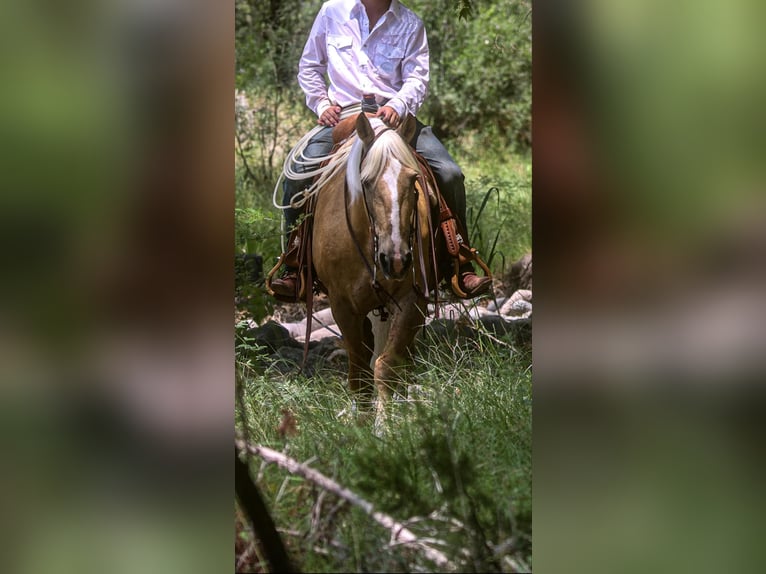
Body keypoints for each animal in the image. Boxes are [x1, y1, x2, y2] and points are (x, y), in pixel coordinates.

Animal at [314, 112, 444, 420]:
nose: (396, 259)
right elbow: (359, 372)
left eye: (414, 179)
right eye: (367, 181)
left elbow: (387, 365)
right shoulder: (342, 306)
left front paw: (387, 424)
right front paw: (361, 423)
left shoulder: (413, 300)